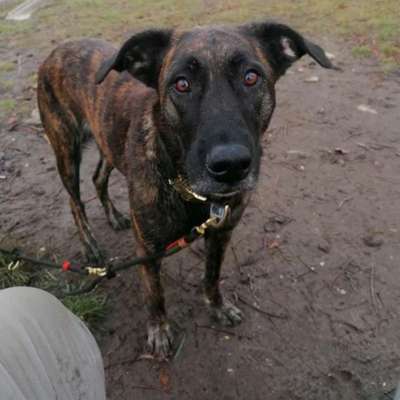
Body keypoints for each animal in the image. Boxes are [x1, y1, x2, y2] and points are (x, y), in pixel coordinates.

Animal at [37, 21, 334, 360]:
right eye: (181, 84)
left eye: (251, 77)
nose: (231, 165)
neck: (188, 189)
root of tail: (58, 49)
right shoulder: (148, 250)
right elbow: (155, 296)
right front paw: (159, 331)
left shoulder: (221, 233)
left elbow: (212, 276)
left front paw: (217, 306)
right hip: (65, 148)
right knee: (75, 202)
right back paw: (90, 245)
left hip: (107, 143)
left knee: (99, 178)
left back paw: (114, 216)